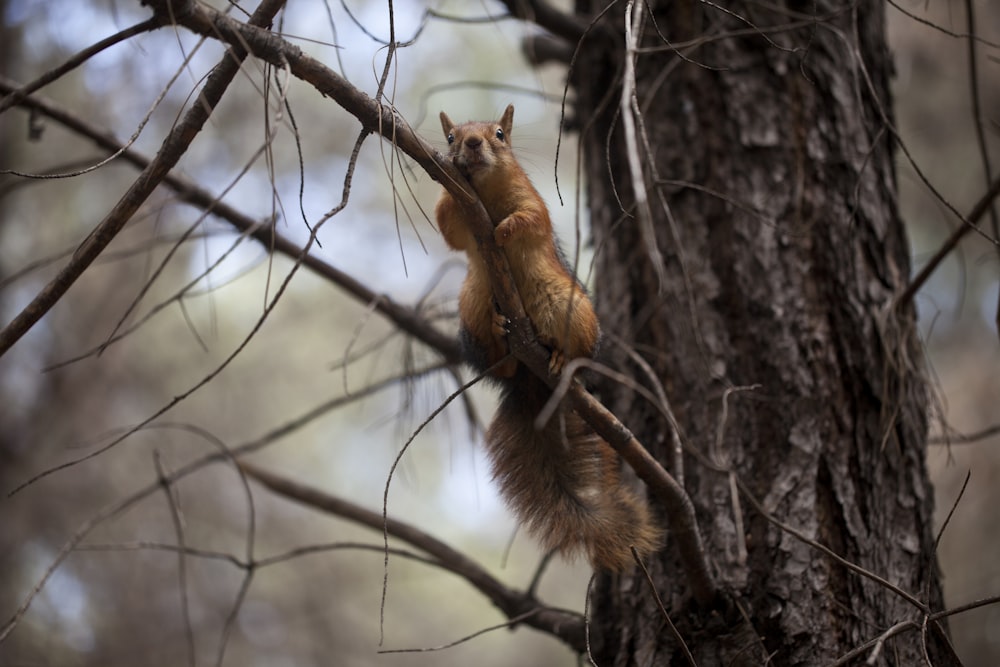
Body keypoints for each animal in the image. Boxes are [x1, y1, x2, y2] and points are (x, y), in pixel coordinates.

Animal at [438, 105, 664, 576]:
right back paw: (502, 341)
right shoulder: (458, 228)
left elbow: (531, 219)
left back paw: (561, 358)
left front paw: (504, 230)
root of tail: (530, 377)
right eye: (451, 136)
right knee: (496, 351)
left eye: (499, 133)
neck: (485, 195)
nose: (471, 144)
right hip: (472, 303)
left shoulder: (533, 200)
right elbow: (448, 226)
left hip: (567, 306)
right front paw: (452, 180)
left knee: (573, 347)